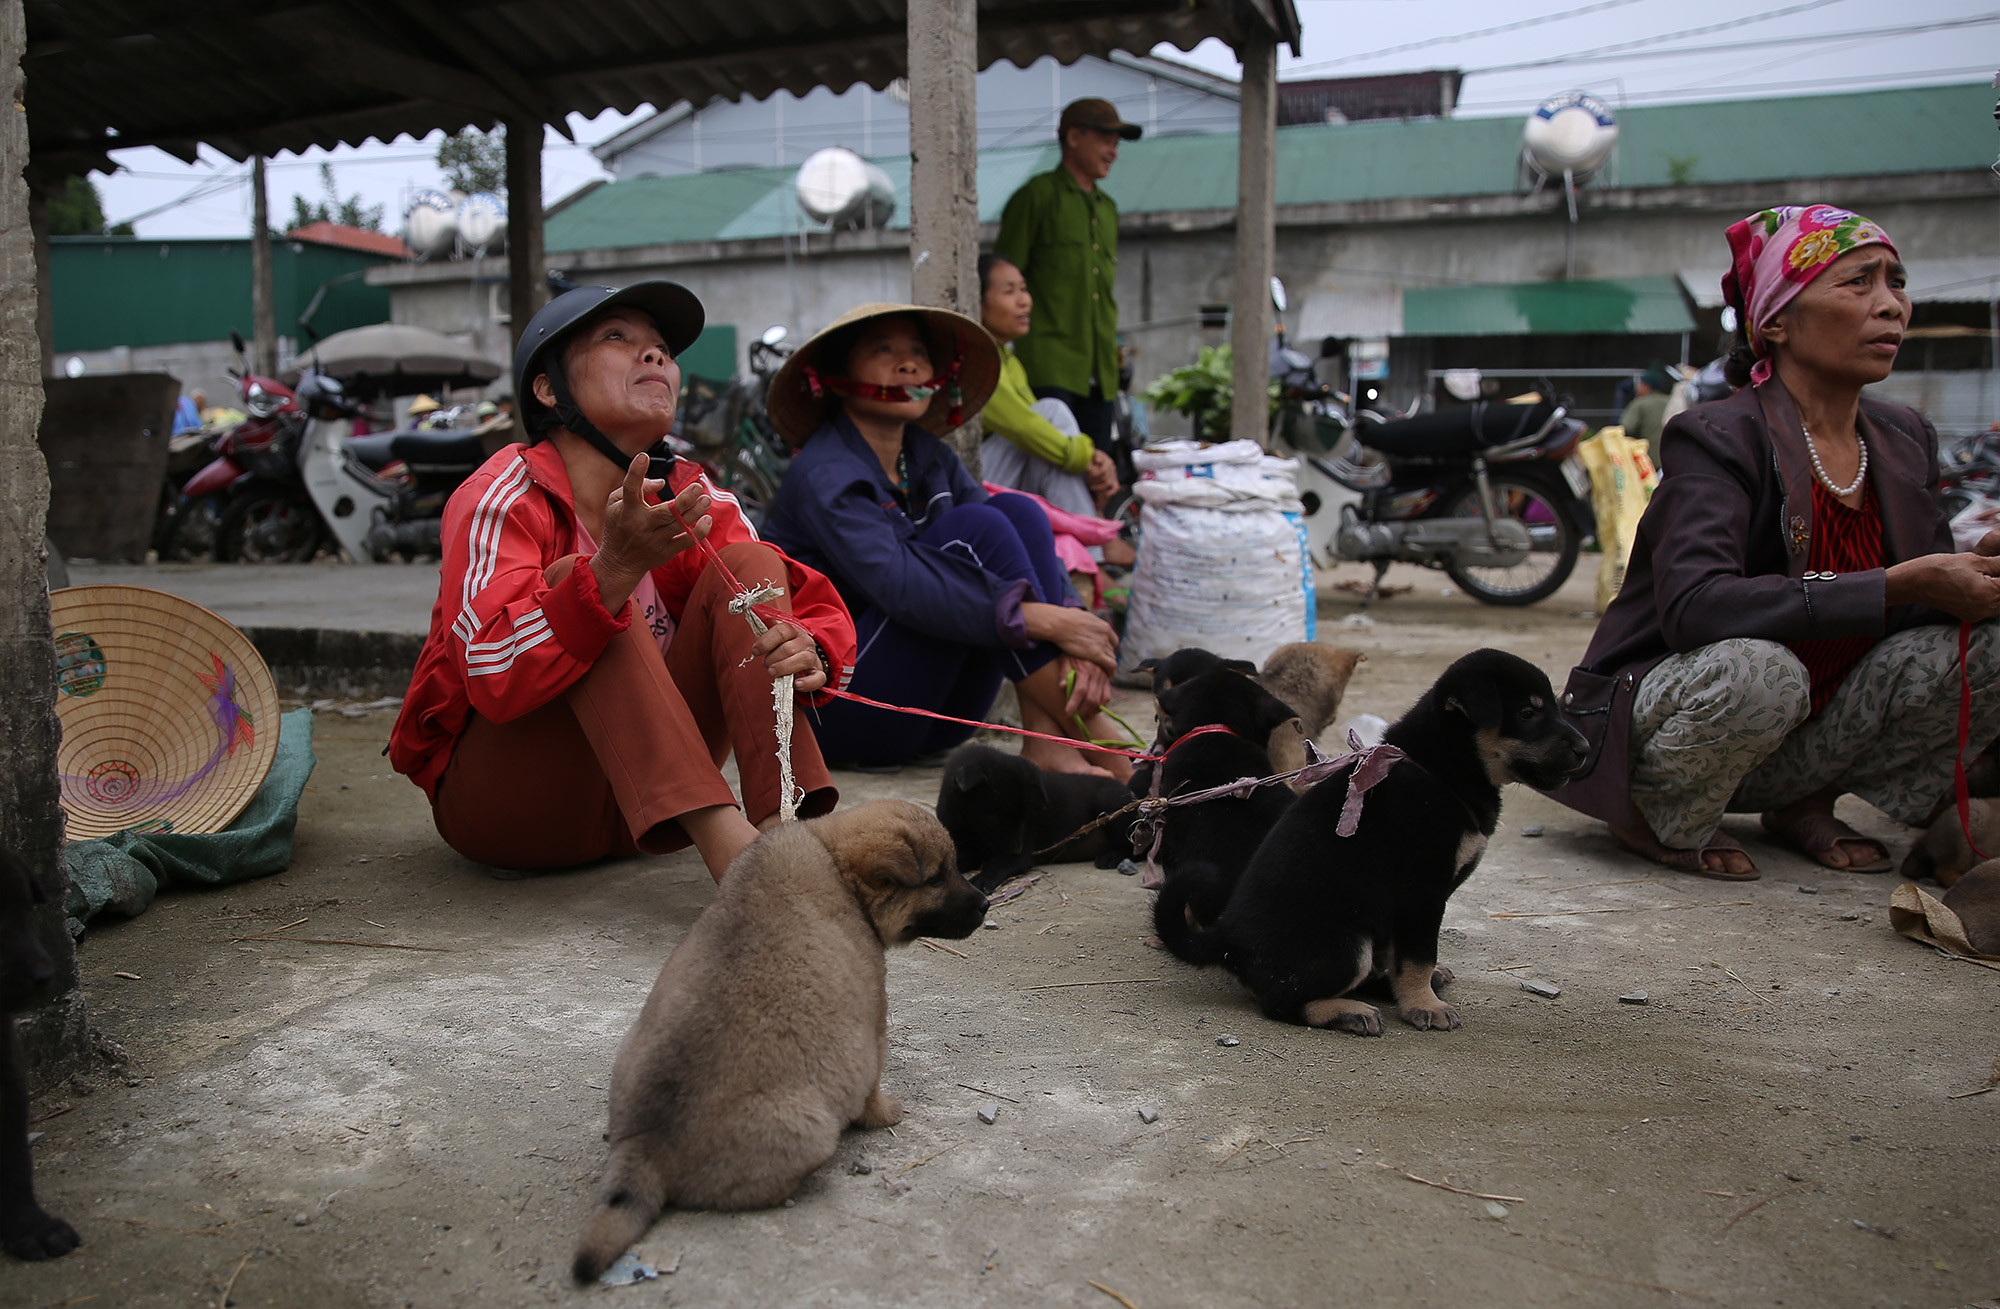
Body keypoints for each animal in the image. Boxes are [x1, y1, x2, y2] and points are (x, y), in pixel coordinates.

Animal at [572, 800, 984, 1280]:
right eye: (936, 878)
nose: (986, 902)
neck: (834, 862)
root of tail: (646, 1145)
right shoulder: (872, 1024)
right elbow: (872, 1087)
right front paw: (886, 1113)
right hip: (810, 1127)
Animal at [932, 744, 1136, 896]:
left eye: (1024, 819)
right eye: (993, 820)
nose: (1016, 849)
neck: (971, 830)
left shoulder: (1021, 856)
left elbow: (997, 863)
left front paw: (982, 879)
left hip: (1109, 804)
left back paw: (1112, 856)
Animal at [1168, 652, 1584, 1040]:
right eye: (1527, 713)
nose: (1585, 747)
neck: (1439, 771)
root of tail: (1228, 940)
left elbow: (1401, 959)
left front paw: (1413, 992)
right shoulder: (1421, 895)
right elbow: (1417, 957)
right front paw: (1425, 1006)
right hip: (1347, 943)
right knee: (1281, 1000)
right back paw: (1349, 1011)